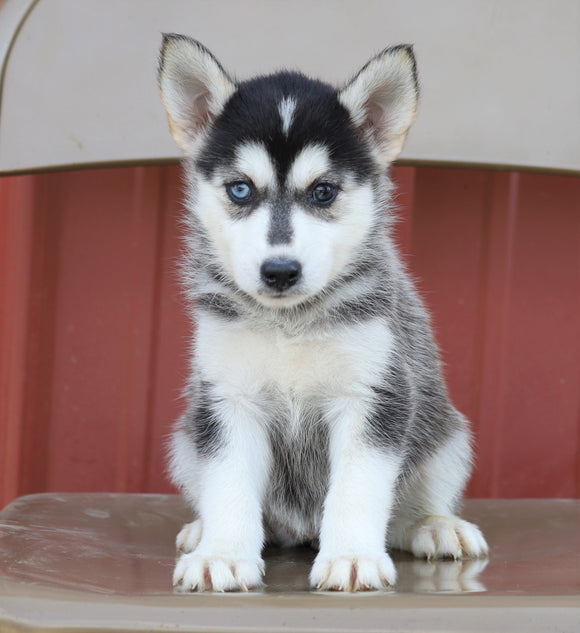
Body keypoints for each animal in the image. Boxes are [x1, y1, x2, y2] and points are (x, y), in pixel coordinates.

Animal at [156, 34, 488, 592]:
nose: (280, 270)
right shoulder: (228, 400)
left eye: (323, 191)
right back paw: (202, 530)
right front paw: (221, 553)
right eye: (240, 189)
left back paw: (435, 525)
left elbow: (358, 489)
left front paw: (352, 556)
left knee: (412, 503)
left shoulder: (373, 396)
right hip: (185, 439)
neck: (289, 322)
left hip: (448, 436)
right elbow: (228, 483)